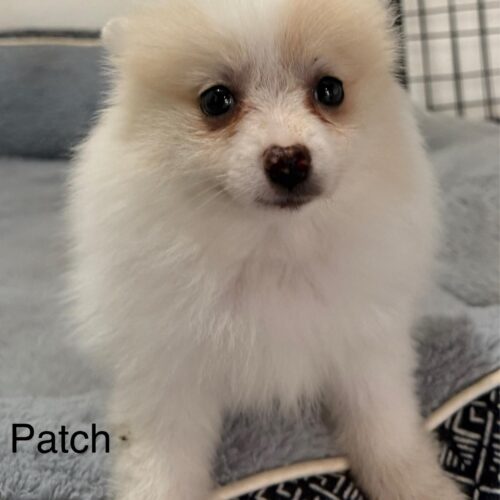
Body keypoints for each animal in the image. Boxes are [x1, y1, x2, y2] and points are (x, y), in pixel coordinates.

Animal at [68, 1, 465, 498]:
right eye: (216, 100)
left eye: (330, 90)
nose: (289, 159)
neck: (273, 248)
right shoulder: (166, 369)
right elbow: (161, 463)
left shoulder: (363, 345)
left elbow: (384, 428)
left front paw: (419, 485)